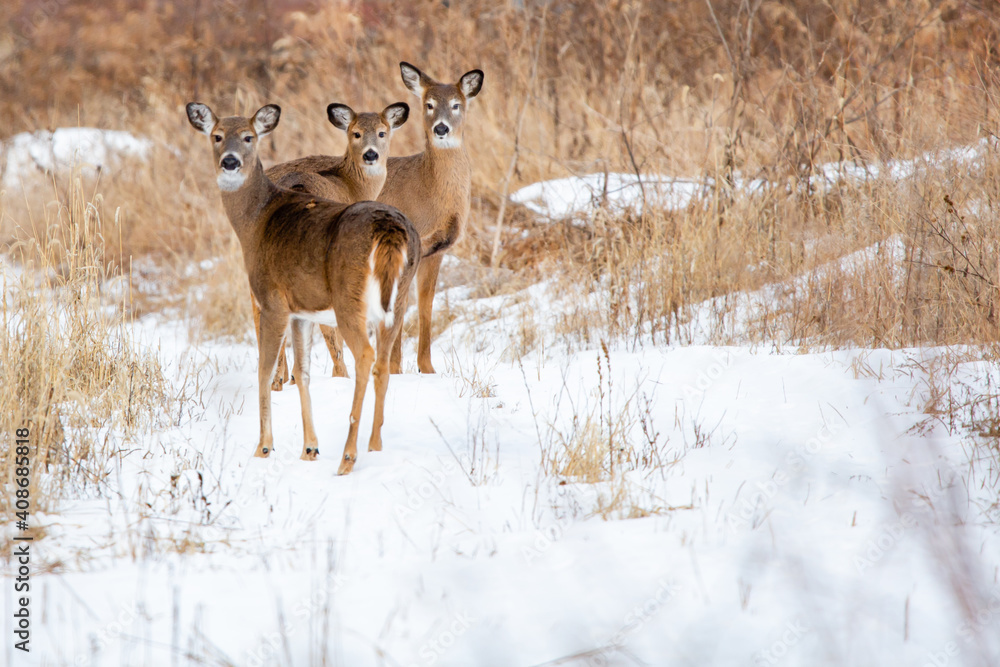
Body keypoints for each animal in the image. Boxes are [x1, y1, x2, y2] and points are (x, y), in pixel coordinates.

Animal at [314, 63, 483, 375]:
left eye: (456, 104)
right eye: (428, 104)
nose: (441, 128)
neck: (428, 189)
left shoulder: (435, 250)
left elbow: (426, 305)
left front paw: (427, 368)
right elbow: (399, 309)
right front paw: (395, 369)